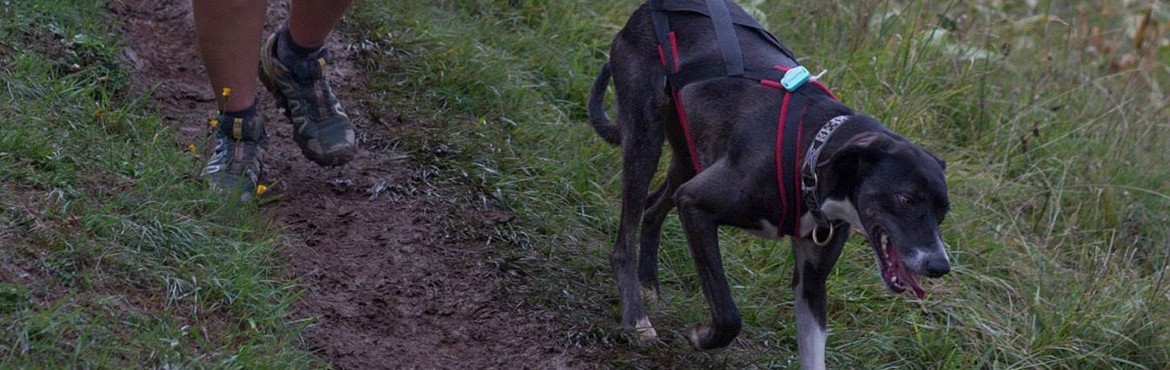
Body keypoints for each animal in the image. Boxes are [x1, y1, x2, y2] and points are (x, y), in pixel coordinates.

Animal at [585, 1, 950, 367]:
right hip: (646, 139)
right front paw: (703, 337)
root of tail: (646, 10)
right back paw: (636, 318)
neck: (812, 152)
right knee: (624, 242)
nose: (940, 266)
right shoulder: (695, 204)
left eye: (943, 213)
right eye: (905, 200)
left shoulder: (811, 283)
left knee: (653, 208)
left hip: (690, 153)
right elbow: (728, 315)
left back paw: (648, 283)